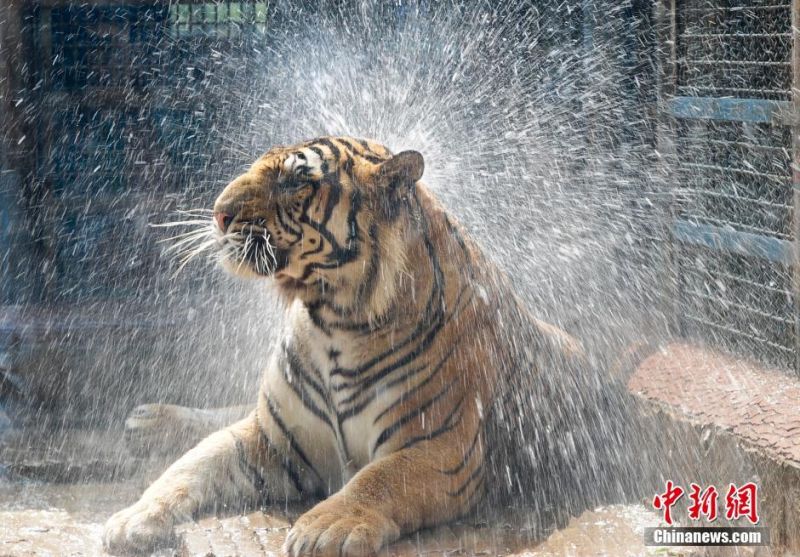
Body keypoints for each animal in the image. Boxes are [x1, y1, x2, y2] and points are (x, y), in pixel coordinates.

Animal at [103, 136, 622, 556]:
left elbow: (377, 478)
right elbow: (192, 465)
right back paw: (147, 421)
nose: (218, 213)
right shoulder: (271, 437)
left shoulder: (442, 448)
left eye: (297, 179)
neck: (331, 320)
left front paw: (324, 527)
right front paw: (130, 518)